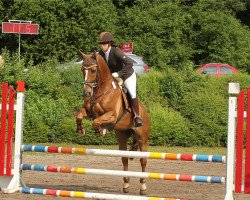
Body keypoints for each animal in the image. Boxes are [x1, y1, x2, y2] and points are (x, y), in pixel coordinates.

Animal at [75, 50, 150, 195]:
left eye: (93, 70)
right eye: (82, 69)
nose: (87, 93)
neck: (100, 90)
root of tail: (145, 111)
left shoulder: (112, 116)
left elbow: (96, 121)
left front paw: (100, 130)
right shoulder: (89, 112)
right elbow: (79, 115)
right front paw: (81, 130)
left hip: (142, 138)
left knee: (143, 160)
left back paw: (143, 187)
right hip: (122, 136)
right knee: (124, 158)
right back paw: (126, 184)